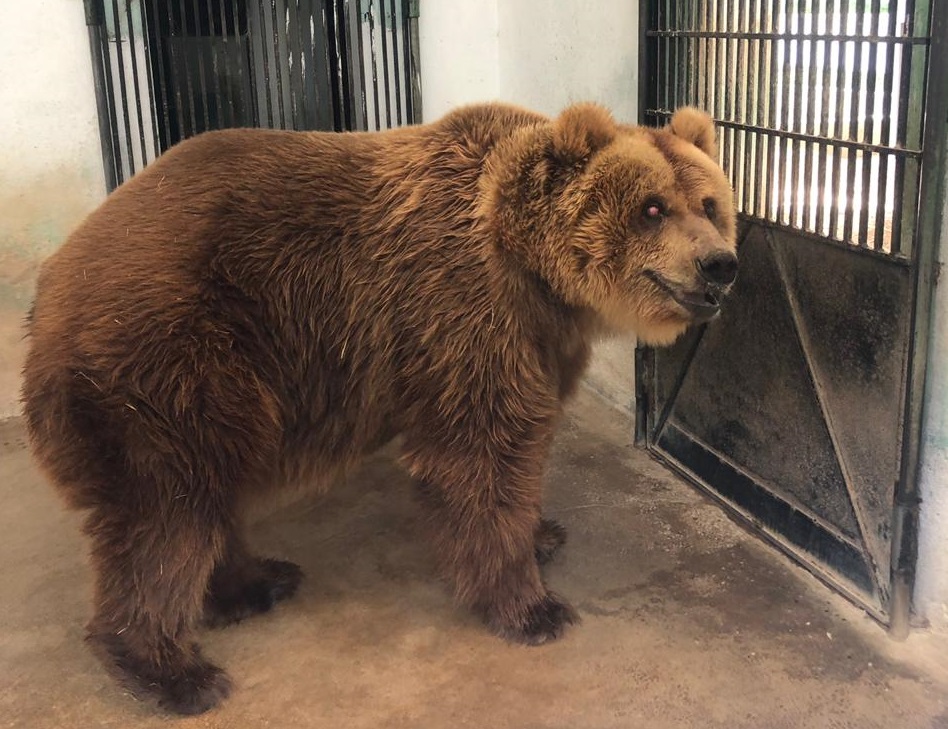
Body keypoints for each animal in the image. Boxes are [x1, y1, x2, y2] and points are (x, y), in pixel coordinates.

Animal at [21, 102, 737, 714]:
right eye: (652, 207)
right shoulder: (463, 312)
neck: (532, 267)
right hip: (167, 364)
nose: (720, 264)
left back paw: (254, 582)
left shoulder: (539, 337)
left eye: (709, 203)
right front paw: (532, 605)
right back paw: (175, 670)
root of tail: (52, 285)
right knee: (167, 514)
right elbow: (481, 456)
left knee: (203, 497)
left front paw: (544, 533)